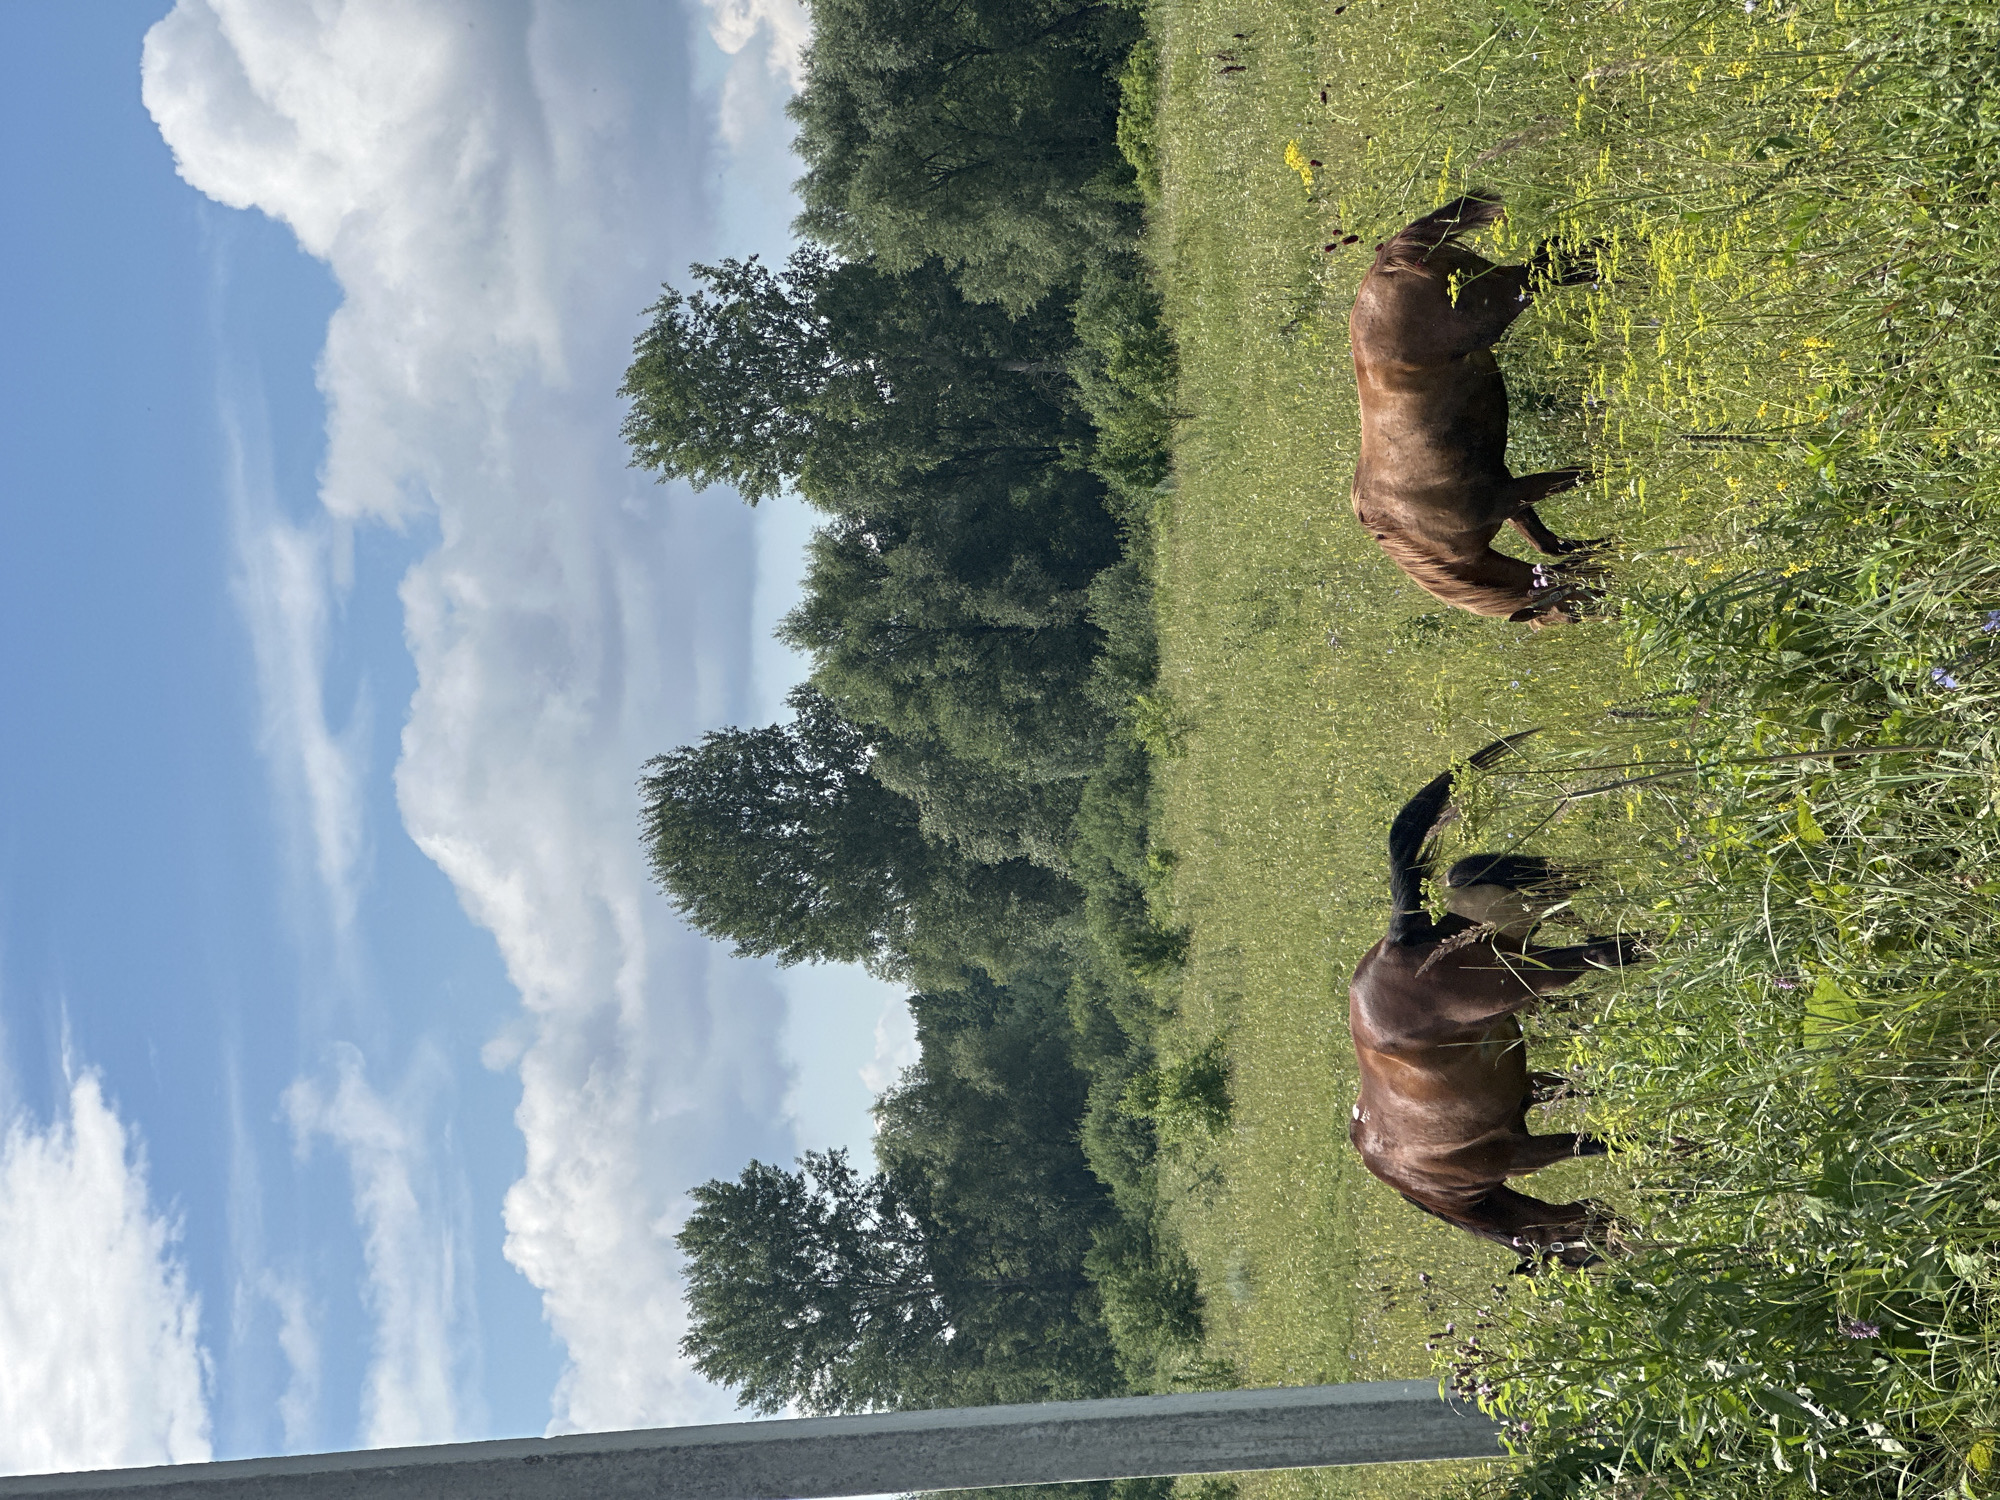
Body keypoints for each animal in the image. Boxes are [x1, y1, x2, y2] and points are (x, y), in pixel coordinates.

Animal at [1347, 733, 1643, 1271]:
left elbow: (1593, 1145)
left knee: (1603, 952)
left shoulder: (1521, 1153)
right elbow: (1583, 1100)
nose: (1626, 1242)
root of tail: (1397, 942)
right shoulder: (1528, 1091)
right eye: (1580, 1259)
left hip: (1533, 972)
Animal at [1349, 192, 1606, 625]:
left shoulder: (1510, 493)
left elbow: (1579, 476)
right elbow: (1550, 546)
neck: (1416, 532)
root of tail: (1386, 263)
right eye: (1575, 615)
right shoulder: (1511, 498)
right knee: (1555, 258)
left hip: (1504, 299)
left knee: (1548, 266)